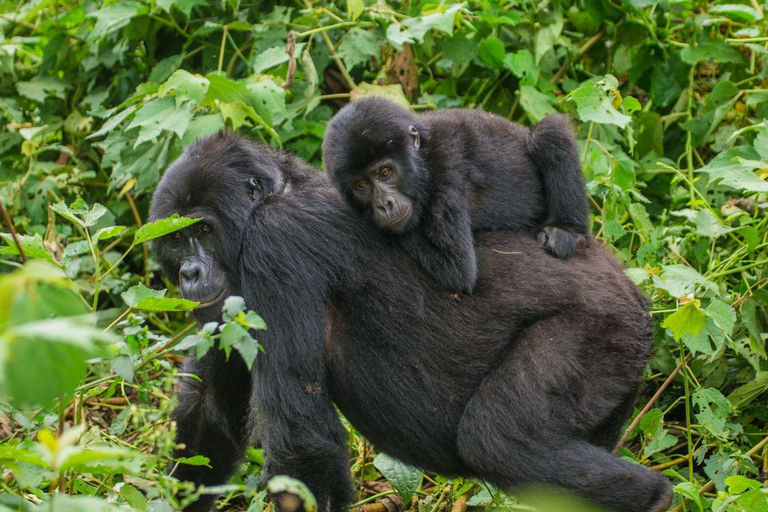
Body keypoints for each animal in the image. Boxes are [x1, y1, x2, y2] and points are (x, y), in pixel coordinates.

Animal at [150, 133, 672, 512]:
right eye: (174, 239)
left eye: (203, 230)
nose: (190, 274)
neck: (274, 195)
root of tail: (629, 285)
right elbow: (209, 419)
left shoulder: (274, 245)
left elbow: (301, 444)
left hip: (605, 324)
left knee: (500, 440)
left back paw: (654, 498)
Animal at [320, 98, 592, 294]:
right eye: (361, 185)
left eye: (385, 172)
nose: (384, 204)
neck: (423, 157)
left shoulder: (445, 176)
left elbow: (457, 270)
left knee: (548, 133)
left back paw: (567, 230)